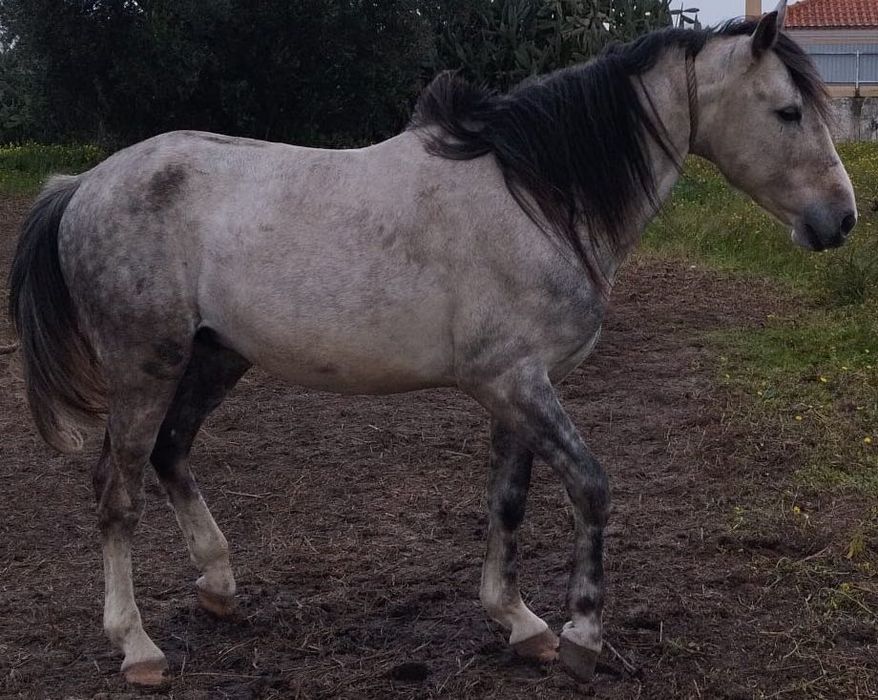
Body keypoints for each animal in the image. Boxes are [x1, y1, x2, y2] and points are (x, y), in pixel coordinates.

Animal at [7, 1, 856, 686]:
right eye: (788, 112)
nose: (840, 220)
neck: (534, 194)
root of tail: (83, 186)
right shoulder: (518, 383)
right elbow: (591, 486)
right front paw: (582, 634)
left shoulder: (516, 389)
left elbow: (508, 501)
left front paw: (521, 623)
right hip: (142, 370)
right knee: (117, 494)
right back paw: (137, 647)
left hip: (217, 355)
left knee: (171, 452)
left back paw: (218, 586)